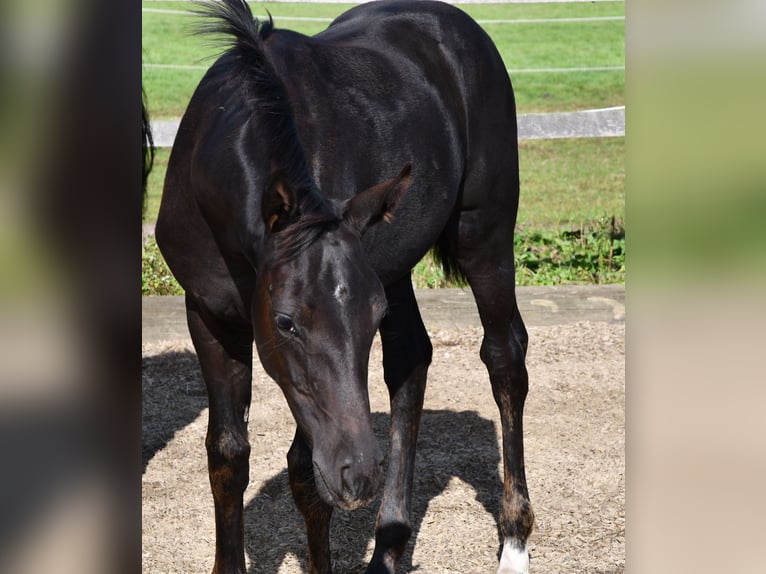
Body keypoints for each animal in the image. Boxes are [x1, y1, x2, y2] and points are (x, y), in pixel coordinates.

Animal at [158, 2, 536, 572]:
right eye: (287, 321)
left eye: (370, 320)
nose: (360, 472)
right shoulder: (208, 314)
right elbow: (228, 456)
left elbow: (304, 471)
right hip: (394, 264)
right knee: (410, 360)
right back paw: (390, 543)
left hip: (482, 234)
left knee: (504, 357)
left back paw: (514, 543)